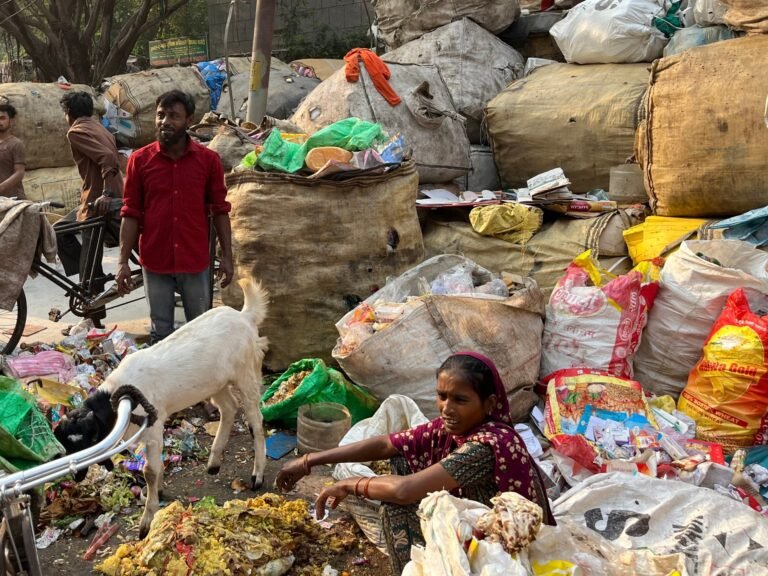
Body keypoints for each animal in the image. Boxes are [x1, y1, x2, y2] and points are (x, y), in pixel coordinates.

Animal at [55, 276, 268, 536]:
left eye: (90, 440)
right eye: (68, 444)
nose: (76, 477)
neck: (121, 397)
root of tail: (245, 316)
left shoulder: (154, 426)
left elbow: (149, 471)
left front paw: (147, 520)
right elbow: (153, 466)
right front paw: (158, 490)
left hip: (246, 373)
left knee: (255, 421)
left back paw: (257, 475)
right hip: (215, 384)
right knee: (229, 407)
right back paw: (214, 462)